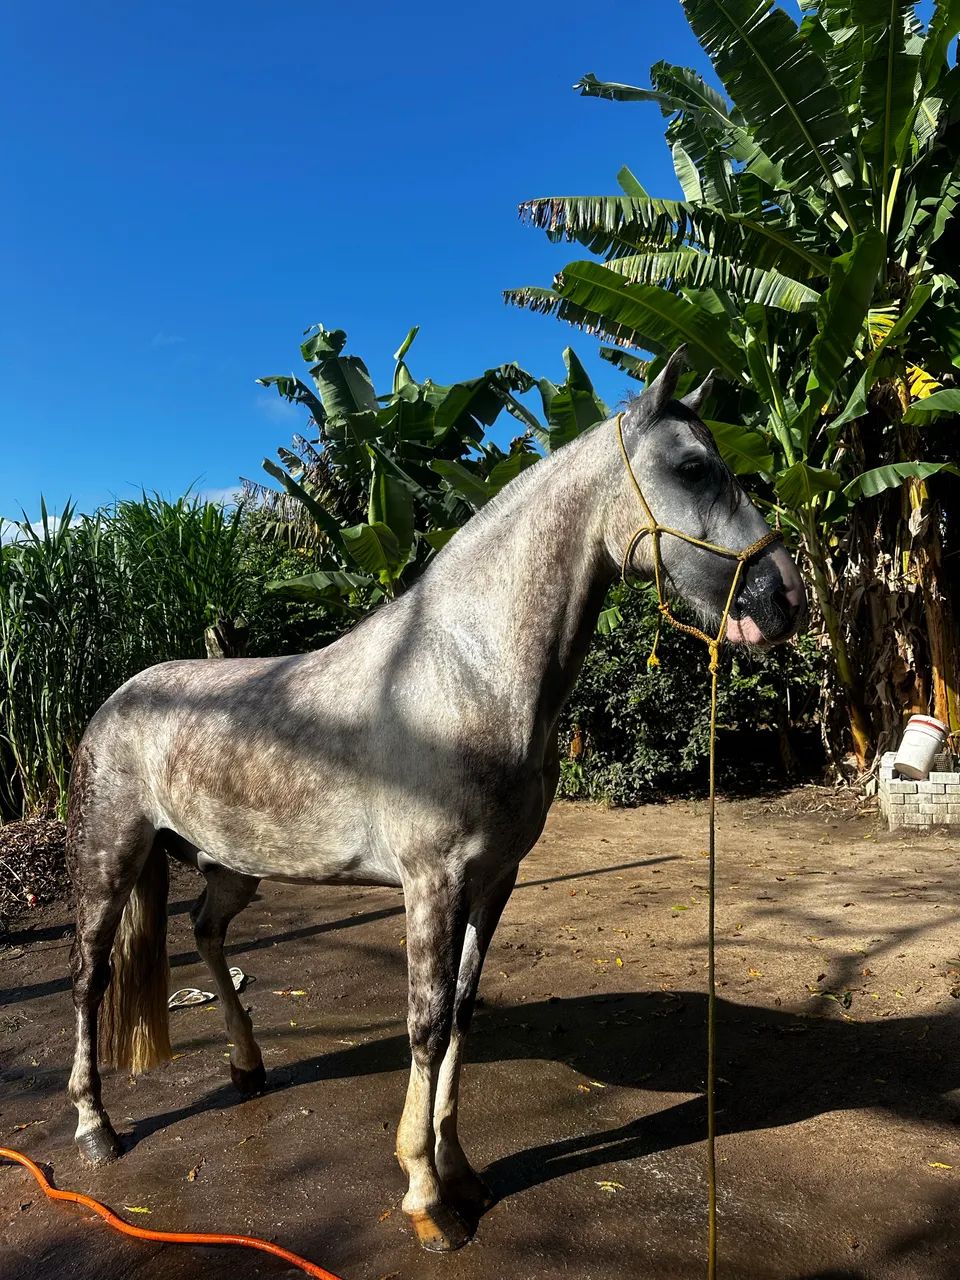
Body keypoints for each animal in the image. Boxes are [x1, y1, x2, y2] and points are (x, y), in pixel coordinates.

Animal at [66, 348, 805, 1252]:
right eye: (695, 468)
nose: (786, 597)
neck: (469, 673)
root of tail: (114, 700)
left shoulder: (494, 881)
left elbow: (460, 1011)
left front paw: (462, 1173)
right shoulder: (432, 884)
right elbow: (422, 1022)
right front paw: (426, 1199)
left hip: (231, 866)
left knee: (206, 932)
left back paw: (248, 1069)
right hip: (111, 858)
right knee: (91, 977)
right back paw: (96, 1128)